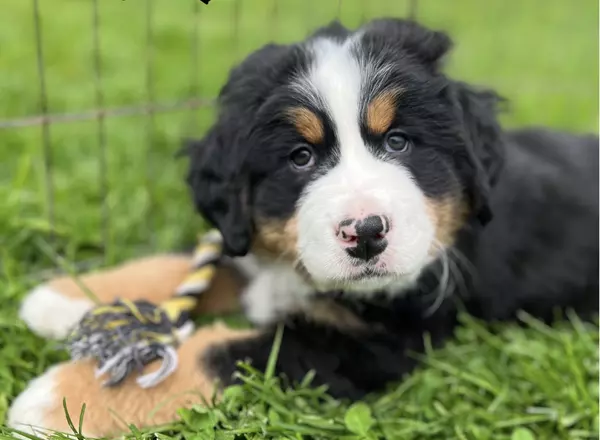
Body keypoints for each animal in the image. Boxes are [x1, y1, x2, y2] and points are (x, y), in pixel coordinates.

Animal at [7, 18, 596, 436]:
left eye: (400, 142)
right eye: (301, 157)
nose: (366, 232)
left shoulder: (375, 343)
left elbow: (231, 352)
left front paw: (58, 402)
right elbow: (193, 262)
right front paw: (69, 298)